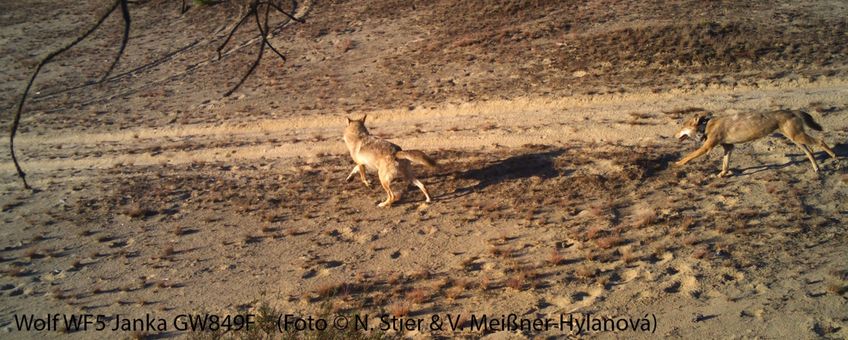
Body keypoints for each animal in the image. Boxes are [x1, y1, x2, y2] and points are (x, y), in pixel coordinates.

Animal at [672, 109, 840, 178]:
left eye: (681, 126)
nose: (673, 135)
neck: (705, 125)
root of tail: (793, 111)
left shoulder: (707, 147)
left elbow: (688, 157)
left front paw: (677, 163)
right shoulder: (729, 147)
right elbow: (725, 164)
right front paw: (722, 174)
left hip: (798, 137)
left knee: (820, 141)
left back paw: (834, 157)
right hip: (796, 139)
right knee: (810, 150)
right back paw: (816, 168)